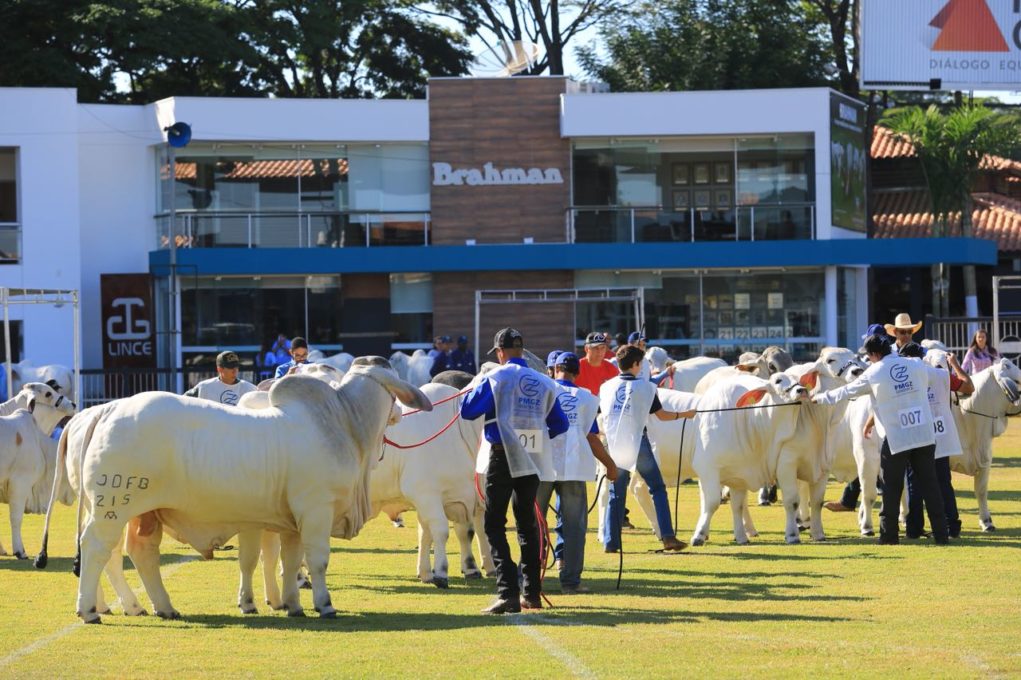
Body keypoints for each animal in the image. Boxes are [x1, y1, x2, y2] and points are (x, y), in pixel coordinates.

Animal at [690, 371, 808, 547]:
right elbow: (711, 503)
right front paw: (699, 535)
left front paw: (792, 534)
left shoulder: (748, 473)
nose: (802, 390)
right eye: (778, 380)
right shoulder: (707, 467)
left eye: (799, 380)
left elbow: (791, 501)